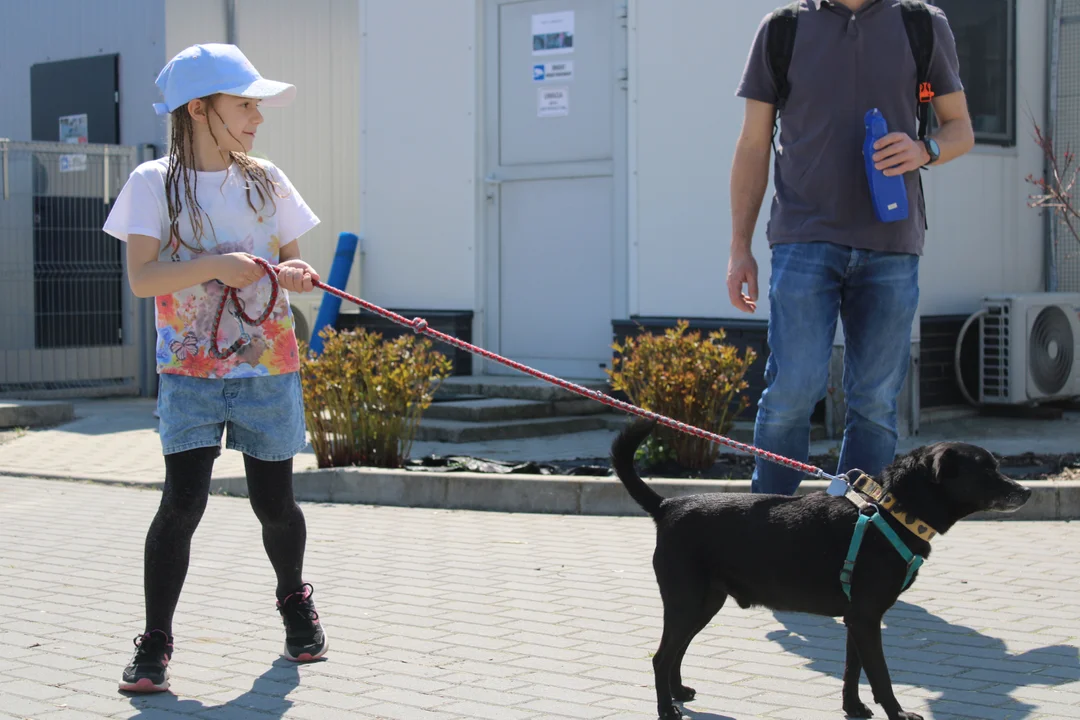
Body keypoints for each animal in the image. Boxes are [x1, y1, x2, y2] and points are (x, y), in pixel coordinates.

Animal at [613, 416, 1032, 720]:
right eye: (986, 470)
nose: (1027, 491)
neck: (892, 512)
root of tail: (667, 506)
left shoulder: (857, 619)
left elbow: (852, 671)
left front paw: (854, 709)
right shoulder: (866, 619)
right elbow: (881, 676)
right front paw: (897, 714)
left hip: (704, 602)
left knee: (677, 650)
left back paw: (678, 692)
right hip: (686, 601)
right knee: (661, 656)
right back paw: (666, 709)